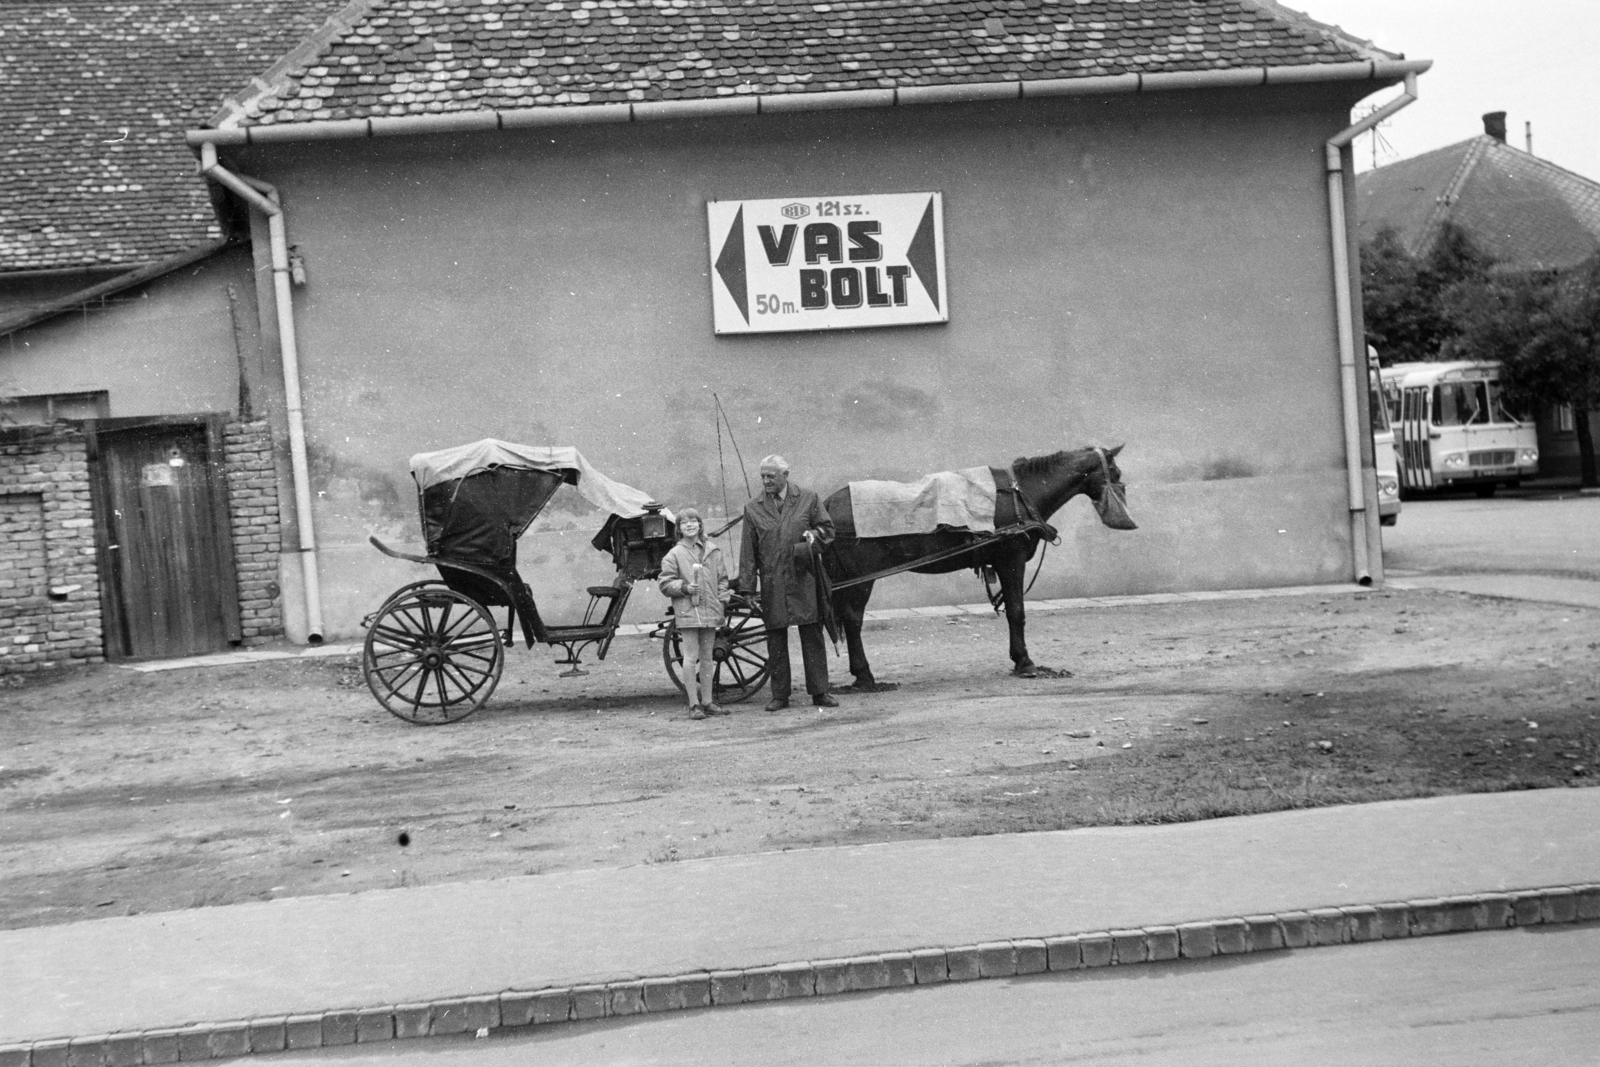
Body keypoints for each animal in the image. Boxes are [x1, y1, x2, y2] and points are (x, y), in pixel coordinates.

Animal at [819, 444, 1132, 687]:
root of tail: (829, 503)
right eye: (1115, 473)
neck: (1020, 493)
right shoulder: (1011, 561)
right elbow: (1016, 612)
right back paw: (864, 675)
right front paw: (1024, 662)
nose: (1127, 517)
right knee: (853, 620)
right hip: (862, 578)